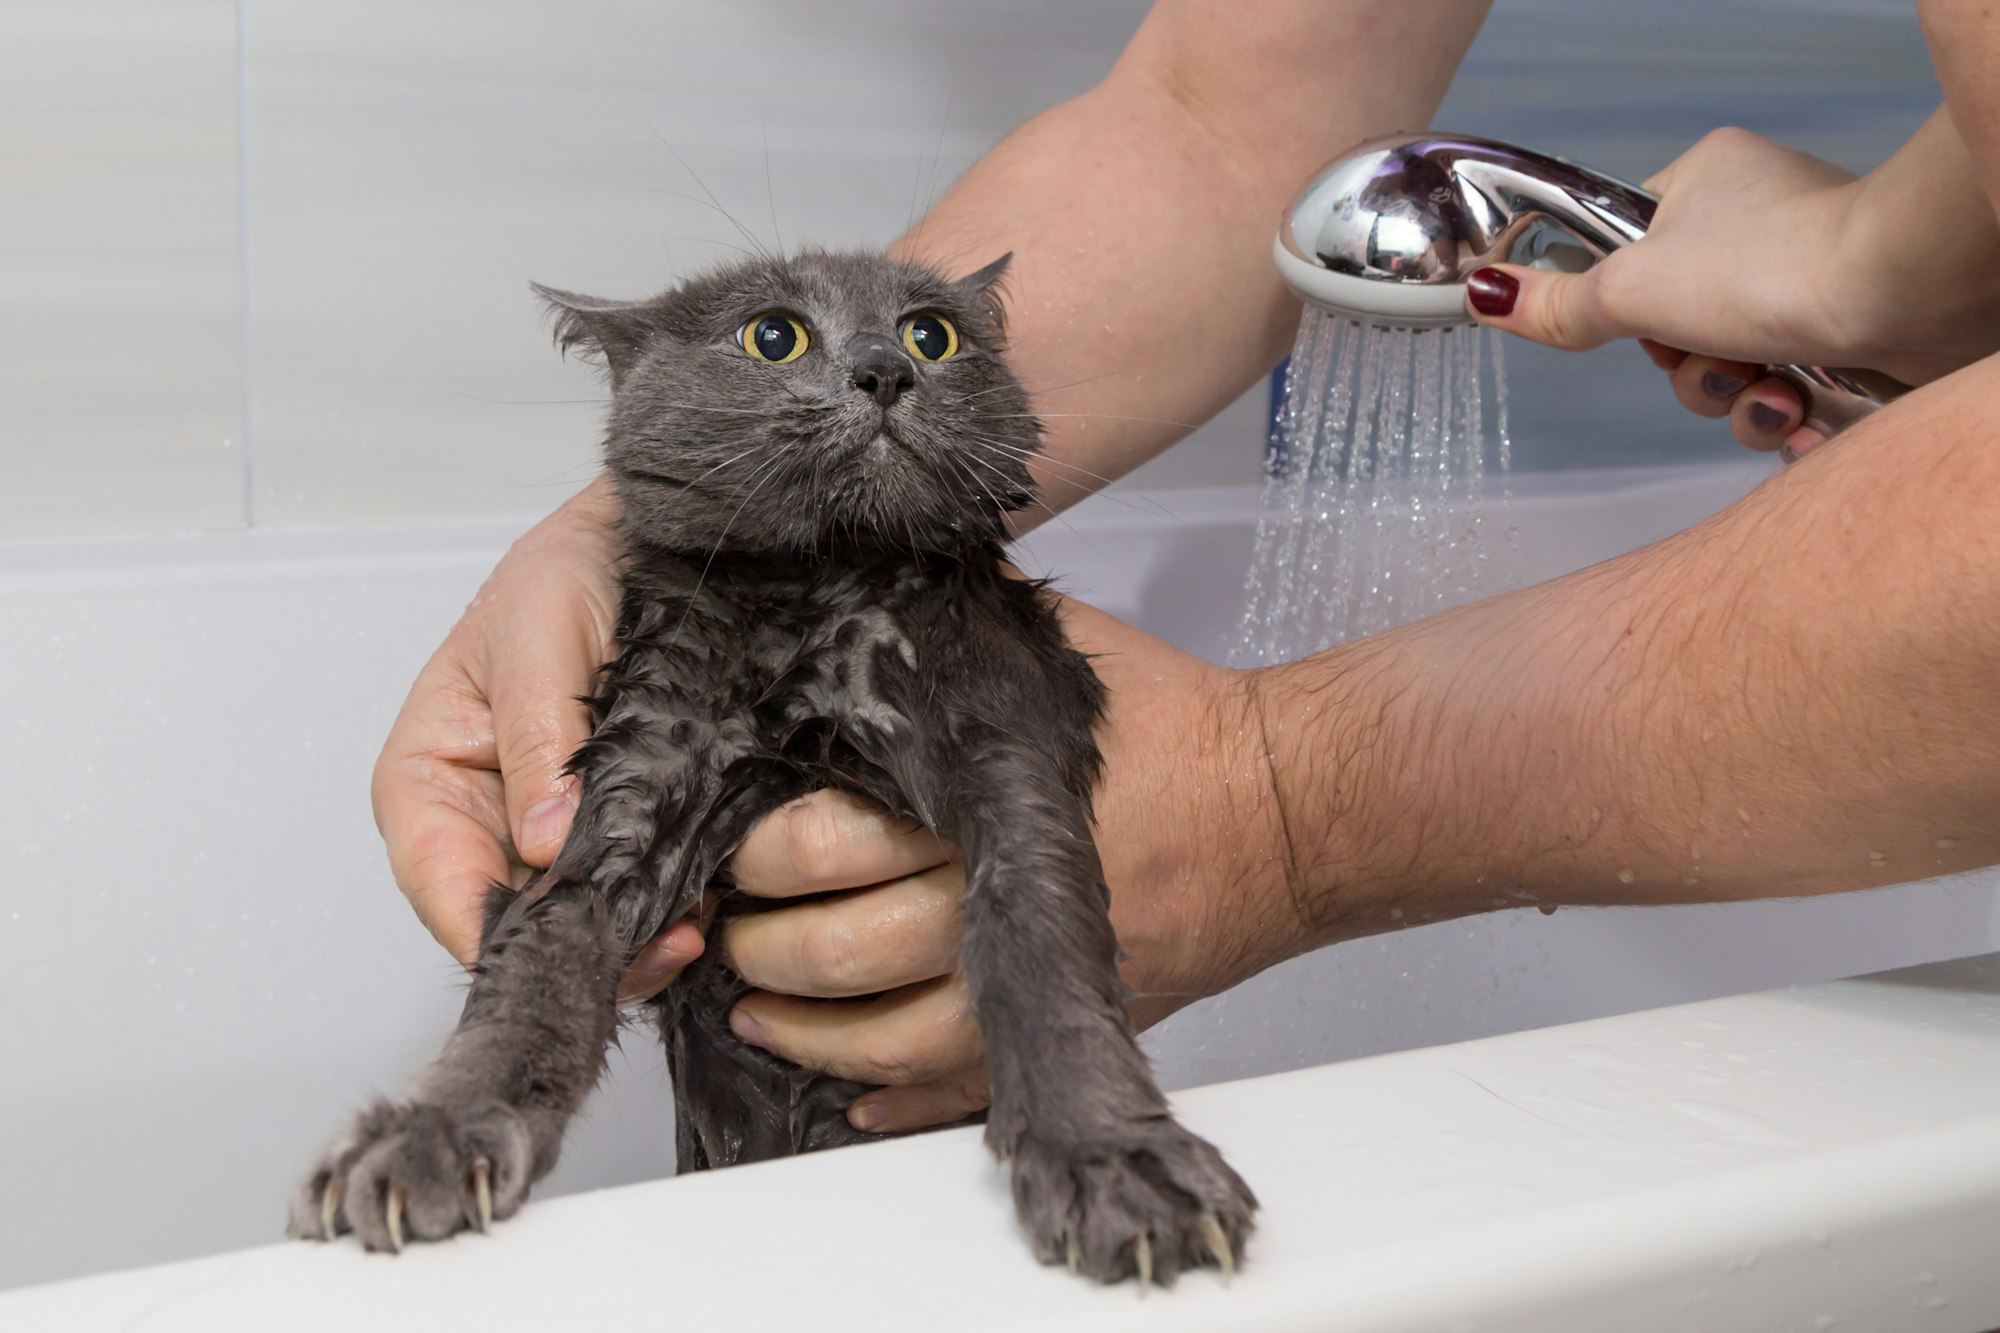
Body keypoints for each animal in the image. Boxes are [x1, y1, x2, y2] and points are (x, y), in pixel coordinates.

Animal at [286, 246, 1248, 1280]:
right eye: (774, 335)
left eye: (931, 334)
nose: (884, 370)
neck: (810, 598)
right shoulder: (641, 772)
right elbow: (533, 965)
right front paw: (433, 1132)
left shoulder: (1004, 737)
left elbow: (1041, 938)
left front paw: (1112, 1153)